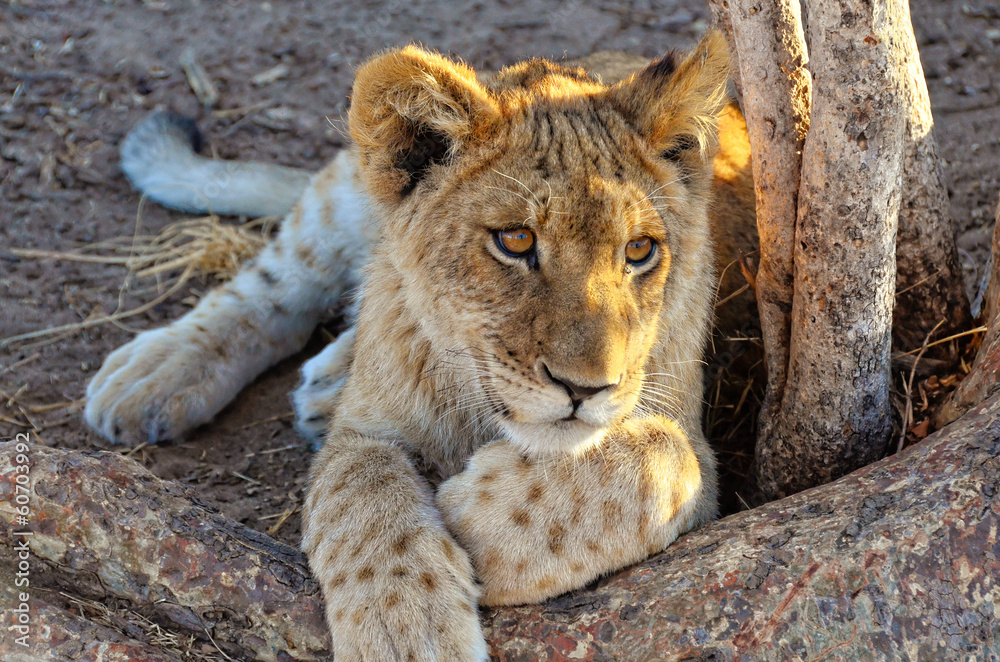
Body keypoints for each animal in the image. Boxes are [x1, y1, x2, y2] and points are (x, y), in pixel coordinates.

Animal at [84, 30, 756, 661]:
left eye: (639, 250)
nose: (585, 388)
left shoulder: (701, 454)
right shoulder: (364, 432)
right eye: (515, 240)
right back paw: (152, 376)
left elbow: (667, 457)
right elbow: (368, 503)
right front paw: (404, 629)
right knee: (279, 280)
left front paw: (476, 523)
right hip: (341, 197)